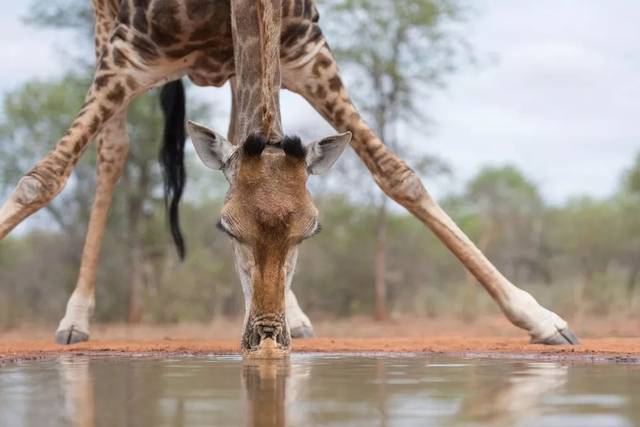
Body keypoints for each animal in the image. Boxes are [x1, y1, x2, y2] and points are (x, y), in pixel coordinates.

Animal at [0, 0, 580, 354]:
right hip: (106, 27)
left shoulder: (305, 50)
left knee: (235, 128)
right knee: (112, 151)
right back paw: (76, 319)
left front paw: (540, 317)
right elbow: (42, 178)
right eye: (226, 229)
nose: (267, 336)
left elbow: (398, 174)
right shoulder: (128, 56)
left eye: (312, 230)